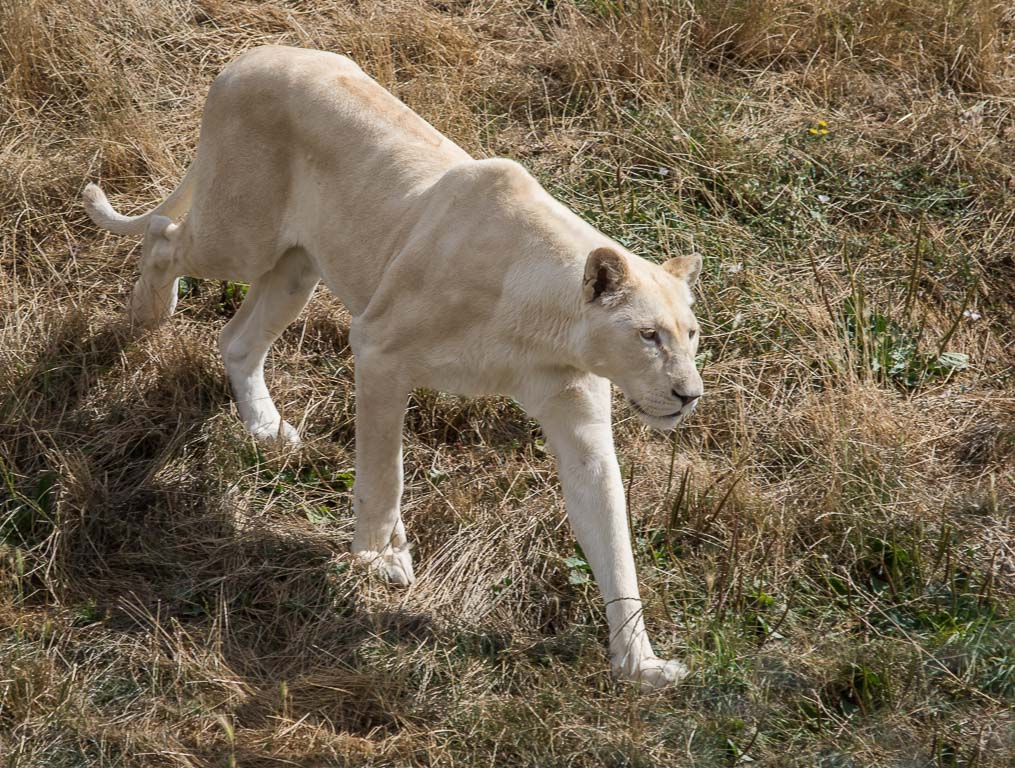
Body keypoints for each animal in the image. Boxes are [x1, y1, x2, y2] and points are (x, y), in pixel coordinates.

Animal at [82, 46, 704, 689]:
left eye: (692, 335)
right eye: (649, 336)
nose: (690, 395)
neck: (546, 328)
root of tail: (256, 53)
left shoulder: (578, 423)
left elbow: (612, 537)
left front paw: (641, 665)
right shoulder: (378, 349)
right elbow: (386, 470)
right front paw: (381, 556)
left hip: (296, 267)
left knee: (235, 339)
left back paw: (266, 427)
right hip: (239, 233)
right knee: (164, 237)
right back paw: (147, 314)